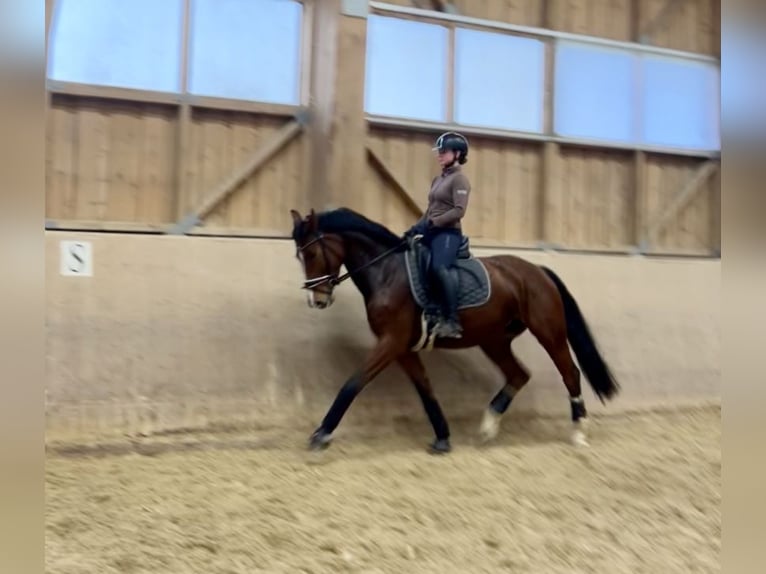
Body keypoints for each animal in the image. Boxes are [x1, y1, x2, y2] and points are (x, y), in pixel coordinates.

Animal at [292, 207, 620, 454]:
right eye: (300, 256)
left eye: (312, 254)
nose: (317, 300)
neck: (387, 272)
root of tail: (538, 271)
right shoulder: (402, 347)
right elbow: (426, 391)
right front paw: (442, 438)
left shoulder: (391, 342)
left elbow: (353, 384)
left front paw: (321, 434)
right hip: (494, 340)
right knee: (519, 374)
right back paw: (488, 427)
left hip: (548, 332)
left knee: (569, 373)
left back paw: (578, 431)